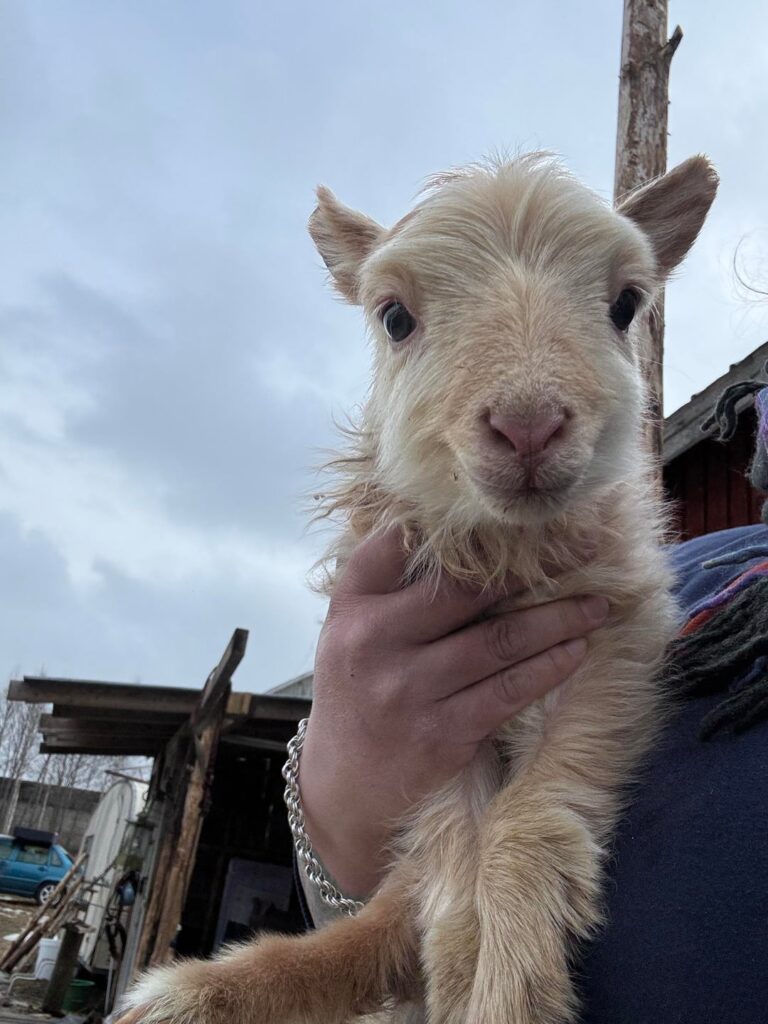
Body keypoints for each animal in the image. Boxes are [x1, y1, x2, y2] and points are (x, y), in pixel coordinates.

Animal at [118, 151, 718, 1024]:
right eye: (395, 317)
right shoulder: (425, 720)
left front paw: (505, 991)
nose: (529, 425)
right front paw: (470, 973)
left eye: (626, 304)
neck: (504, 550)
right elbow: (456, 850)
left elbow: (523, 823)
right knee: (380, 924)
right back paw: (193, 992)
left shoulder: (608, 648)